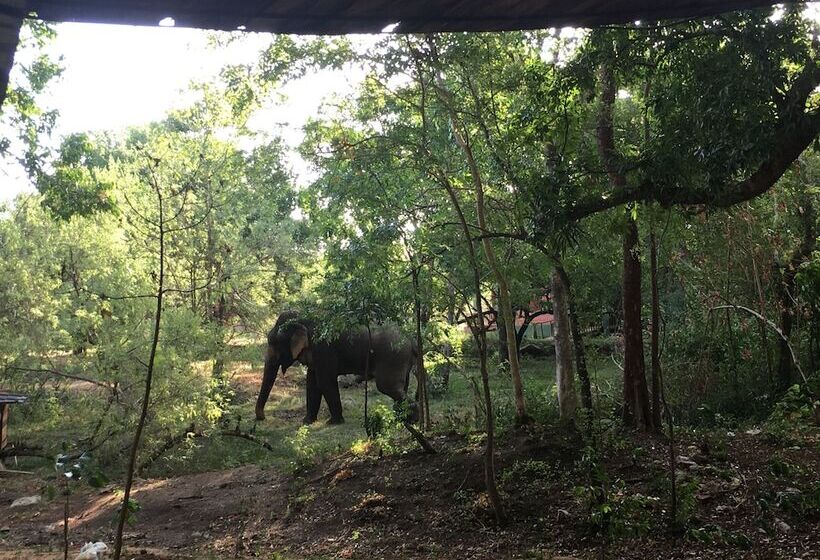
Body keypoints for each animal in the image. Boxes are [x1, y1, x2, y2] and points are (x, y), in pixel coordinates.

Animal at [255, 311, 418, 425]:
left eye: (274, 342)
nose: (262, 418)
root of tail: (411, 339)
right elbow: (312, 383)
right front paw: (306, 422)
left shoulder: (323, 348)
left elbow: (325, 381)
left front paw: (333, 422)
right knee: (401, 386)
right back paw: (402, 419)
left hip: (392, 357)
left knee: (387, 386)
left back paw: (413, 419)